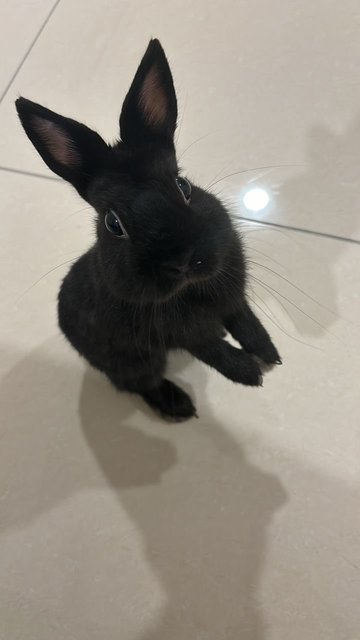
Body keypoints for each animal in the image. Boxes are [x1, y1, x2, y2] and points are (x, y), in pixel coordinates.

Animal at [16, 38, 282, 420]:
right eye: (113, 223)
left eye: (183, 186)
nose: (182, 260)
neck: (191, 288)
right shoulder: (174, 334)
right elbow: (209, 348)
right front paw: (249, 373)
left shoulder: (232, 295)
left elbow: (244, 319)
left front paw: (268, 354)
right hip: (136, 360)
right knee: (138, 384)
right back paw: (179, 407)